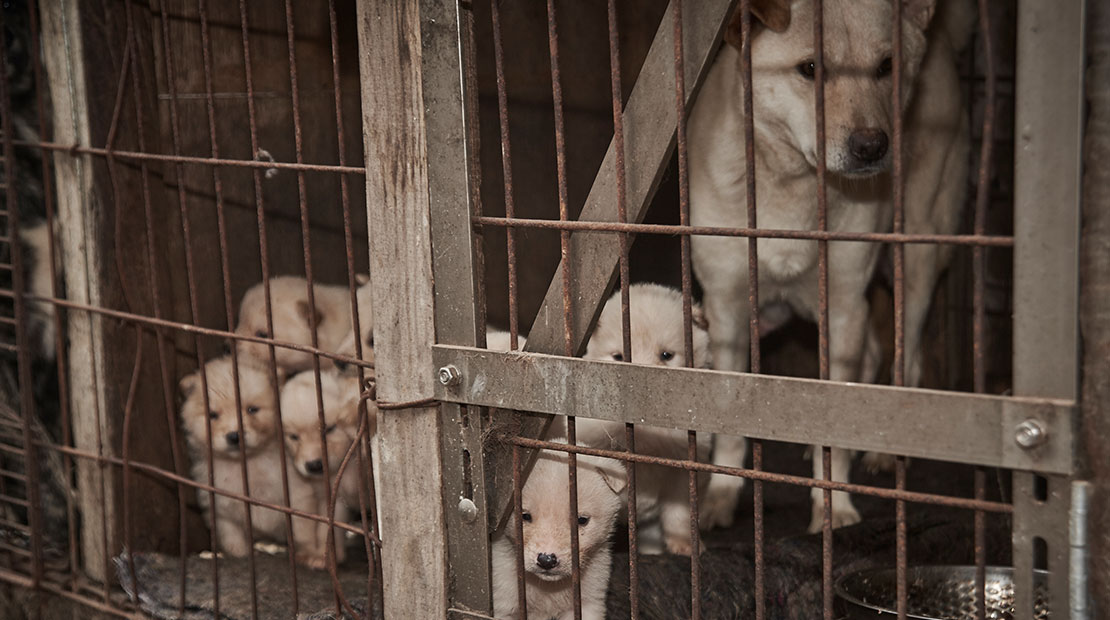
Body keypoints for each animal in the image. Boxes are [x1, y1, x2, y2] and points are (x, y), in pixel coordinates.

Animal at [177, 359, 324, 567]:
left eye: (252, 409)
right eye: (213, 415)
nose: (234, 436)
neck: (248, 464)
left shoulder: (298, 496)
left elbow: (302, 531)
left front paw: (308, 554)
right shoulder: (222, 510)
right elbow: (234, 541)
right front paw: (243, 556)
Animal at [492, 445, 626, 620]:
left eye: (581, 520)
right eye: (525, 516)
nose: (546, 560)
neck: (549, 588)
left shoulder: (589, 601)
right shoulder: (504, 601)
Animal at [683, 0, 972, 534]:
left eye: (886, 66)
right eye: (810, 69)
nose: (872, 146)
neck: (793, 182)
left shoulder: (843, 303)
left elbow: (837, 414)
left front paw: (833, 507)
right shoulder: (729, 308)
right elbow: (731, 418)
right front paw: (721, 496)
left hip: (916, 260)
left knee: (906, 357)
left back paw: (881, 452)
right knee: (874, 353)